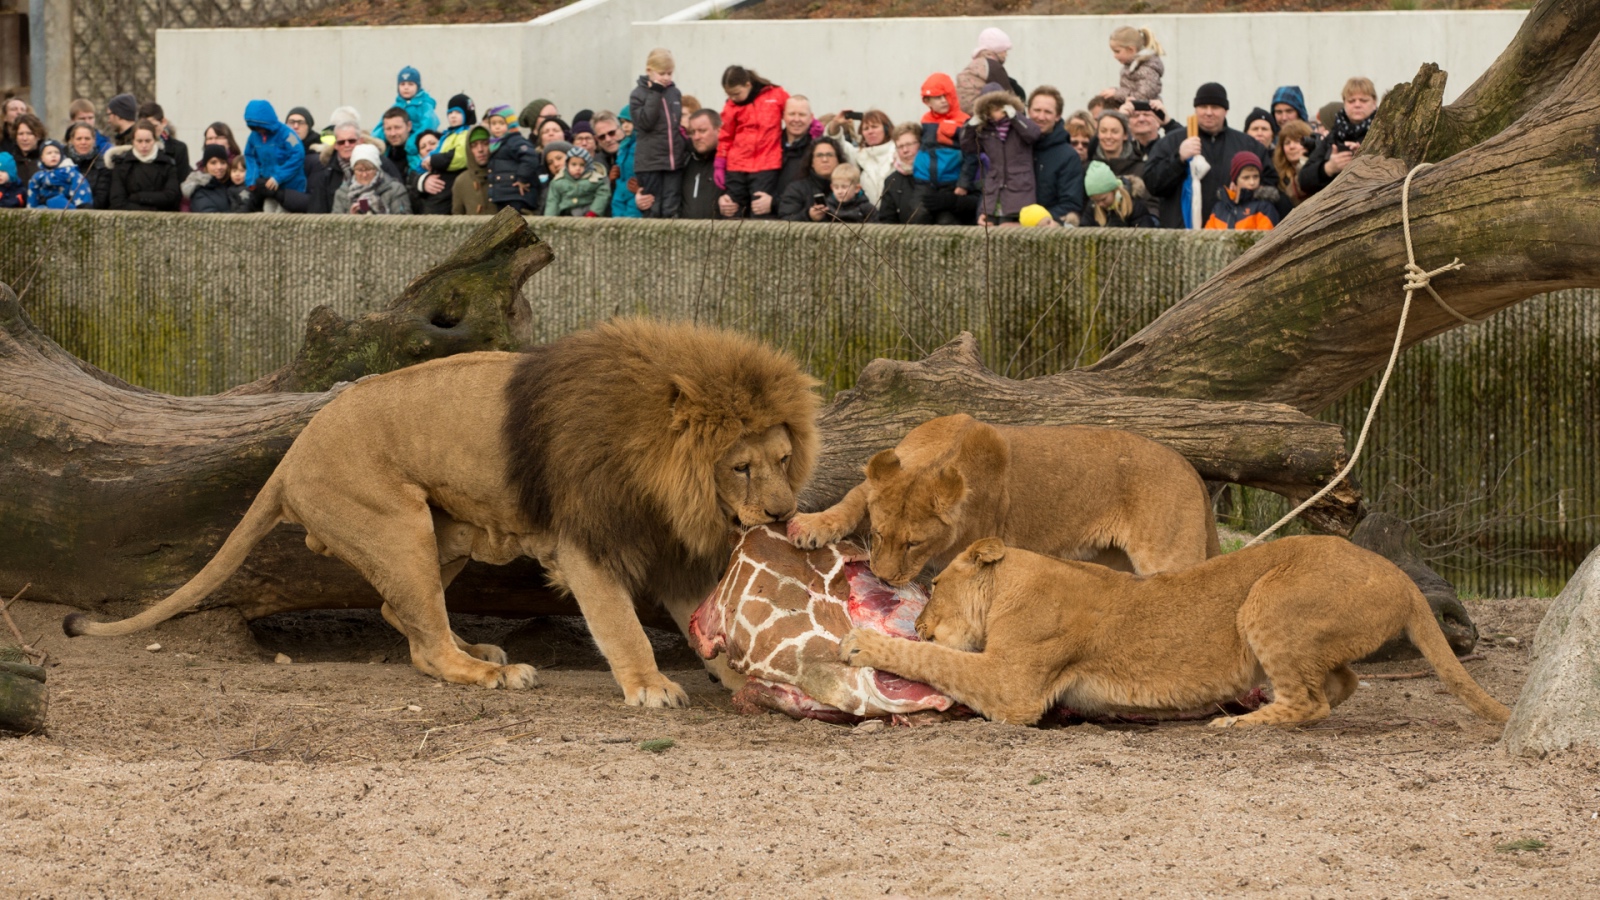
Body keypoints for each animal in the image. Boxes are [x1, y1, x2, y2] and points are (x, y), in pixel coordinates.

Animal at [67, 318, 819, 704]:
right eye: (741, 466)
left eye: (784, 459)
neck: (669, 477)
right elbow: (622, 626)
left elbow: (704, 621)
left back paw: (477, 646)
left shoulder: (665, 545)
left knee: (401, 612)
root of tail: (292, 453)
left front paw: (741, 678)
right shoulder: (589, 543)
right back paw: (491, 672)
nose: (783, 516)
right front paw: (651, 687)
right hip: (396, 524)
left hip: (443, 534)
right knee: (424, 647)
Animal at [838, 534, 1510, 723]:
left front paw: (860, 643)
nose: (919, 620)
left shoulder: (1014, 688)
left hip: (1265, 601)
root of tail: (1397, 576)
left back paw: (1236, 724)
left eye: (935, 589)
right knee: (1338, 685)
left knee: (1312, 702)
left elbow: (939, 661)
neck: (1014, 585)